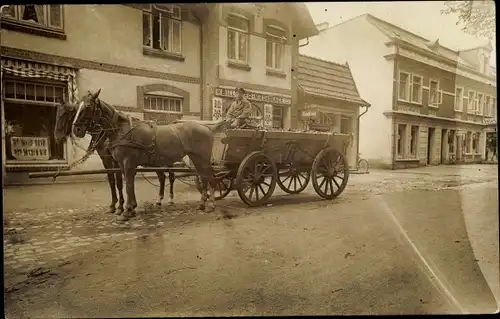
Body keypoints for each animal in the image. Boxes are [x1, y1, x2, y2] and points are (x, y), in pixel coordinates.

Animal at [71, 89, 226, 221]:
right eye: (76, 106)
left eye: (88, 106)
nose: (76, 129)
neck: (122, 129)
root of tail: (207, 128)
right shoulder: (121, 164)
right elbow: (127, 184)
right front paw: (130, 208)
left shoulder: (127, 162)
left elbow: (128, 185)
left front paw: (126, 210)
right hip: (196, 159)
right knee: (204, 178)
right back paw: (202, 203)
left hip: (203, 159)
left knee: (211, 178)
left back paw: (211, 204)